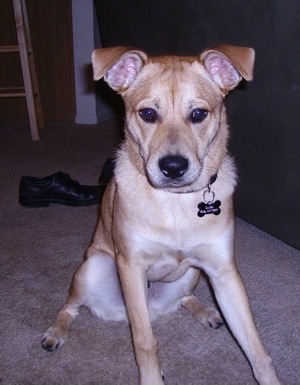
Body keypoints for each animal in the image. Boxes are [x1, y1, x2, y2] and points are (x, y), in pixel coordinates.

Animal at [42, 45, 282, 384]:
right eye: (147, 114)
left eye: (198, 114)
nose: (173, 167)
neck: (176, 202)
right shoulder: (130, 267)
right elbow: (145, 342)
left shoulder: (224, 272)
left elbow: (257, 350)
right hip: (93, 267)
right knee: (70, 307)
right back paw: (56, 332)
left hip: (193, 273)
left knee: (184, 298)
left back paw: (207, 313)